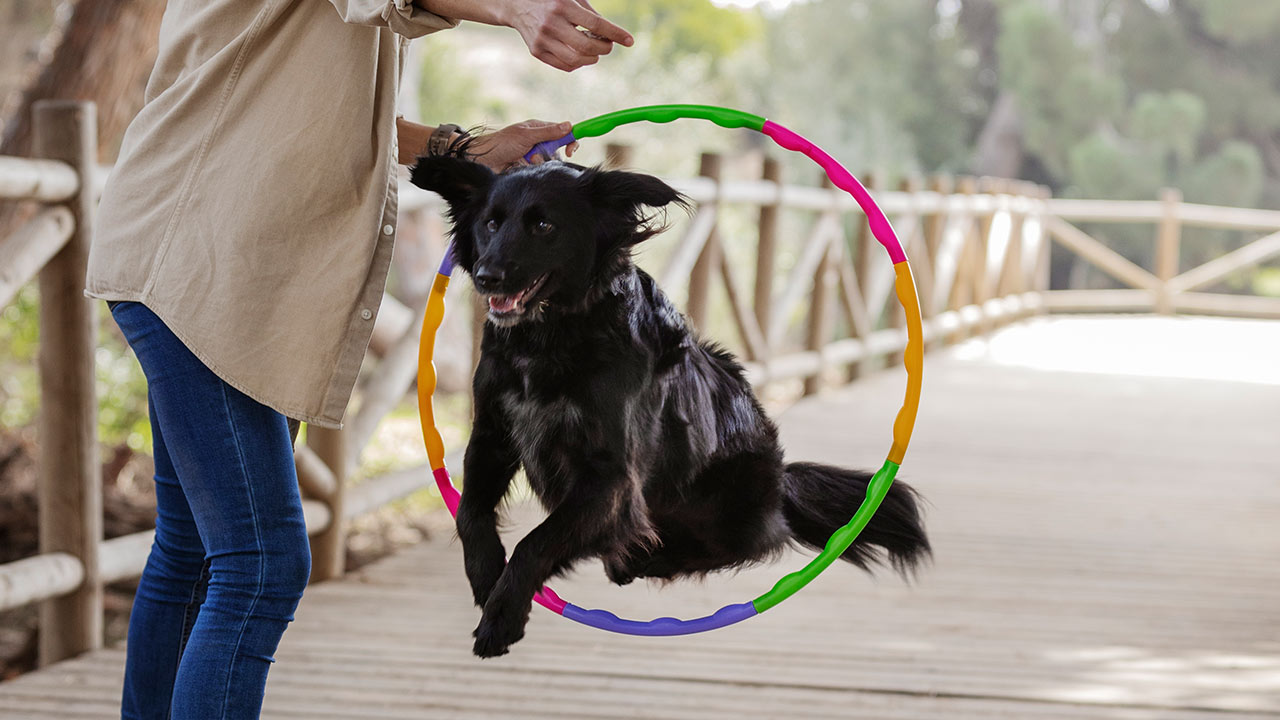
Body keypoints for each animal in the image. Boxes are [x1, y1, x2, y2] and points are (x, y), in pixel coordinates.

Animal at [414, 151, 926, 655]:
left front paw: (501, 617)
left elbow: (536, 543)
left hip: (735, 492)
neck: (548, 338)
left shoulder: (612, 479)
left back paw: (646, 558)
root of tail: (783, 480)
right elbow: (471, 514)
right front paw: (486, 581)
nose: (487, 277)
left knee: (752, 543)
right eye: (490, 223)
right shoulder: (492, 437)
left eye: (543, 225)